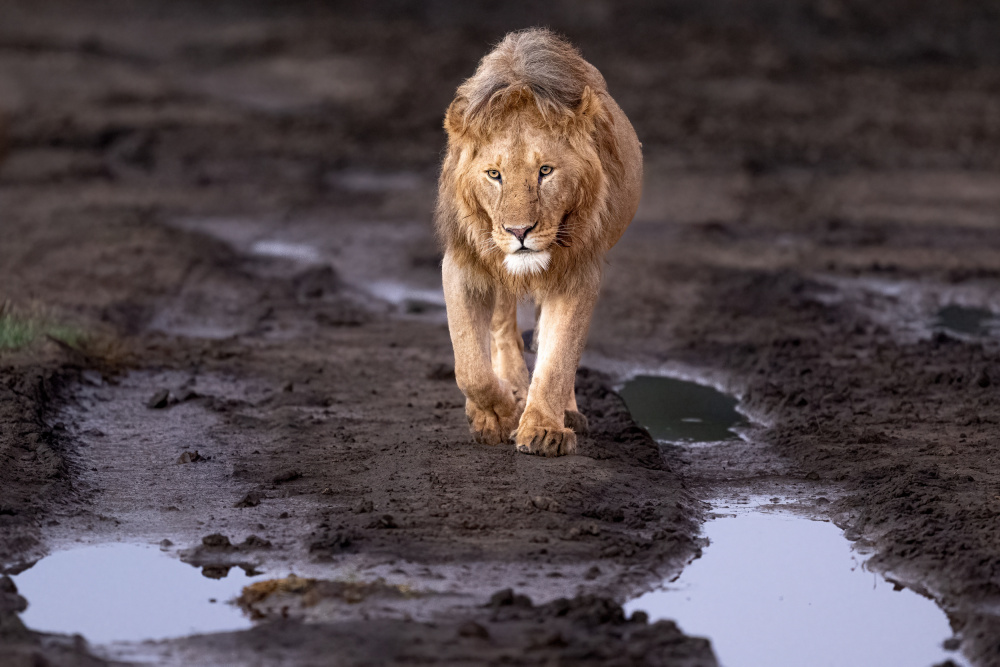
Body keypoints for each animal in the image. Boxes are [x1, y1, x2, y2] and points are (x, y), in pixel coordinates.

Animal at [436, 30, 640, 460]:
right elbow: (470, 366)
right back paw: (512, 391)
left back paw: (563, 410)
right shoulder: (463, 262)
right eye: (493, 174)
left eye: (545, 171)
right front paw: (498, 414)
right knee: (501, 328)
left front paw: (544, 429)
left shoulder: (579, 271)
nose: (519, 231)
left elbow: (559, 356)